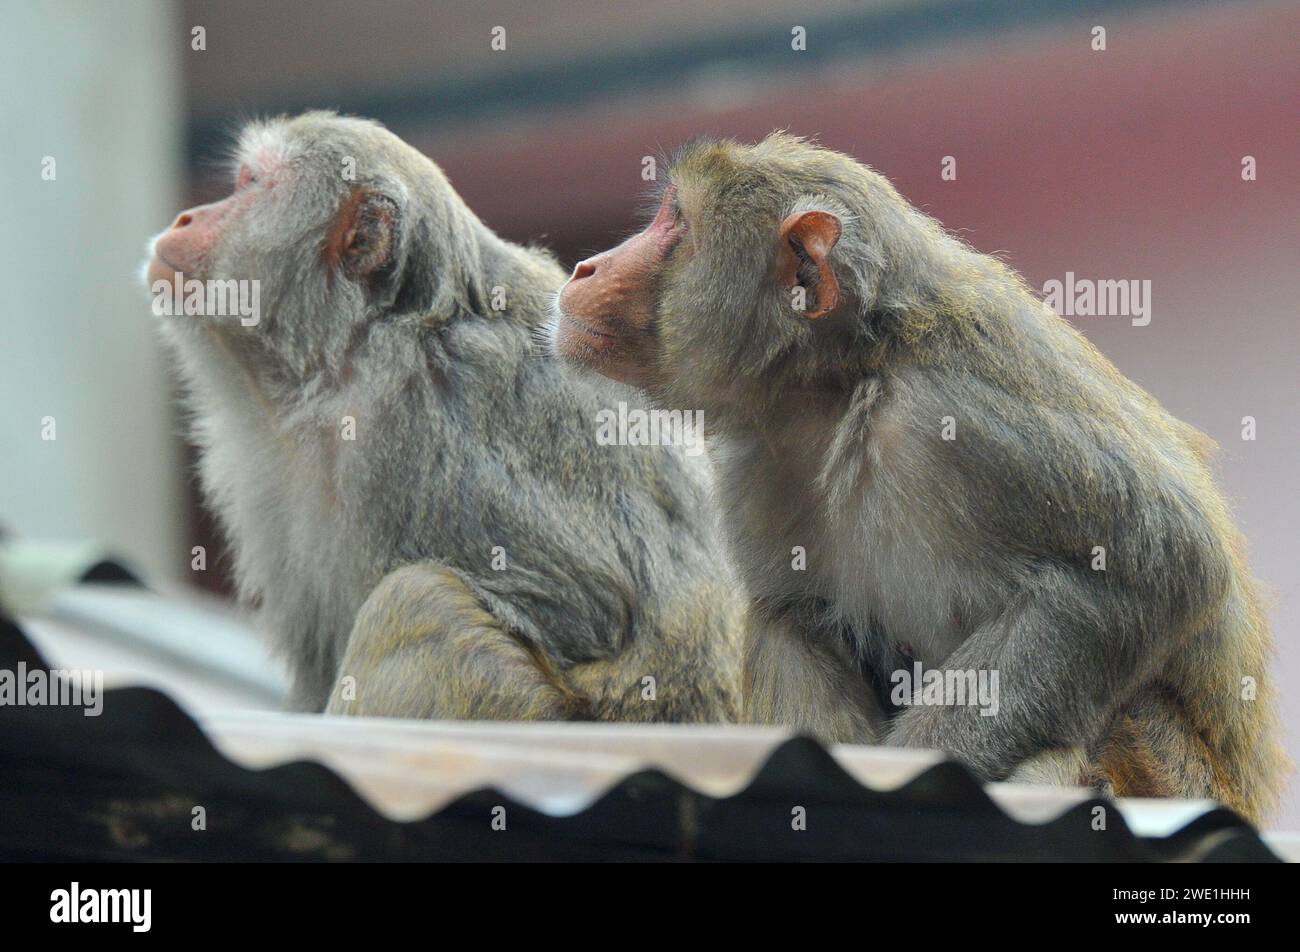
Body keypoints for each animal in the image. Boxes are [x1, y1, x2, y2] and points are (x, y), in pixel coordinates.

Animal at [139, 111, 743, 723]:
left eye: (250, 186)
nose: (187, 217)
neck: (354, 351)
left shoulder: (435, 416)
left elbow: (585, 610)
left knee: (419, 604)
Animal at [548, 130, 1289, 821]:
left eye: (674, 220)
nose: (586, 266)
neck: (844, 378)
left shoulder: (949, 416)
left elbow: (1157, 563)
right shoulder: (758, 461)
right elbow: (796, 615)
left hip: (1169, 770)